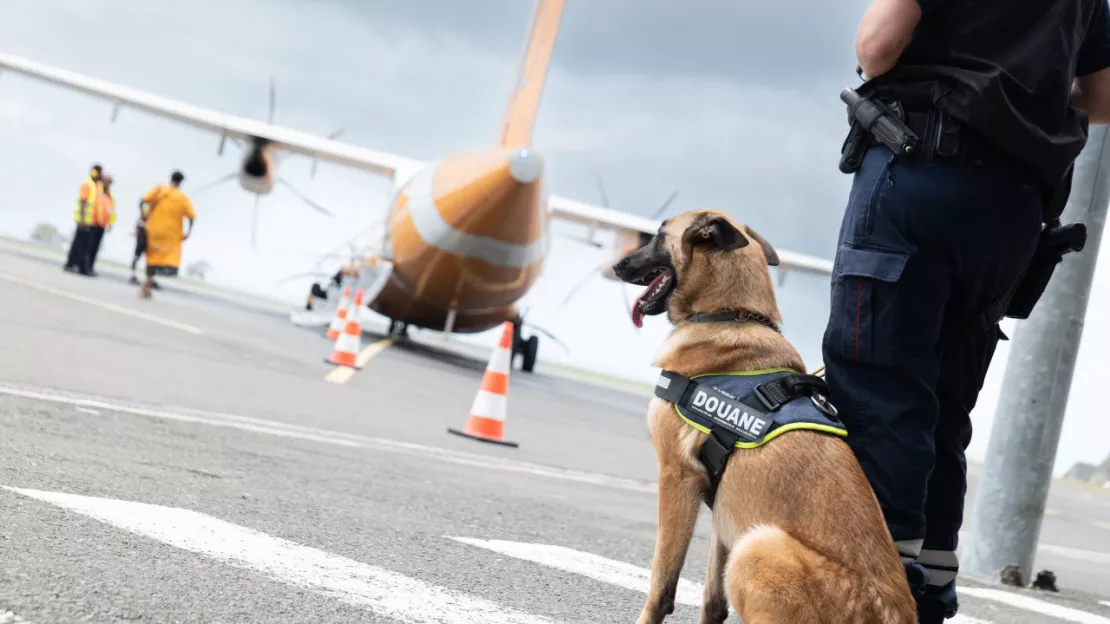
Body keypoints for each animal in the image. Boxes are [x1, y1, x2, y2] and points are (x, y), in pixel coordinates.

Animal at [612, 209, 914, 621]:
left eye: (659, 234)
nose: (617, 265)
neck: (733, 316)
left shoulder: (677, 478)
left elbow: (661, 585)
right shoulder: (724, 511)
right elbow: (713, 599)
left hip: (758, 545)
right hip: (746, 540)